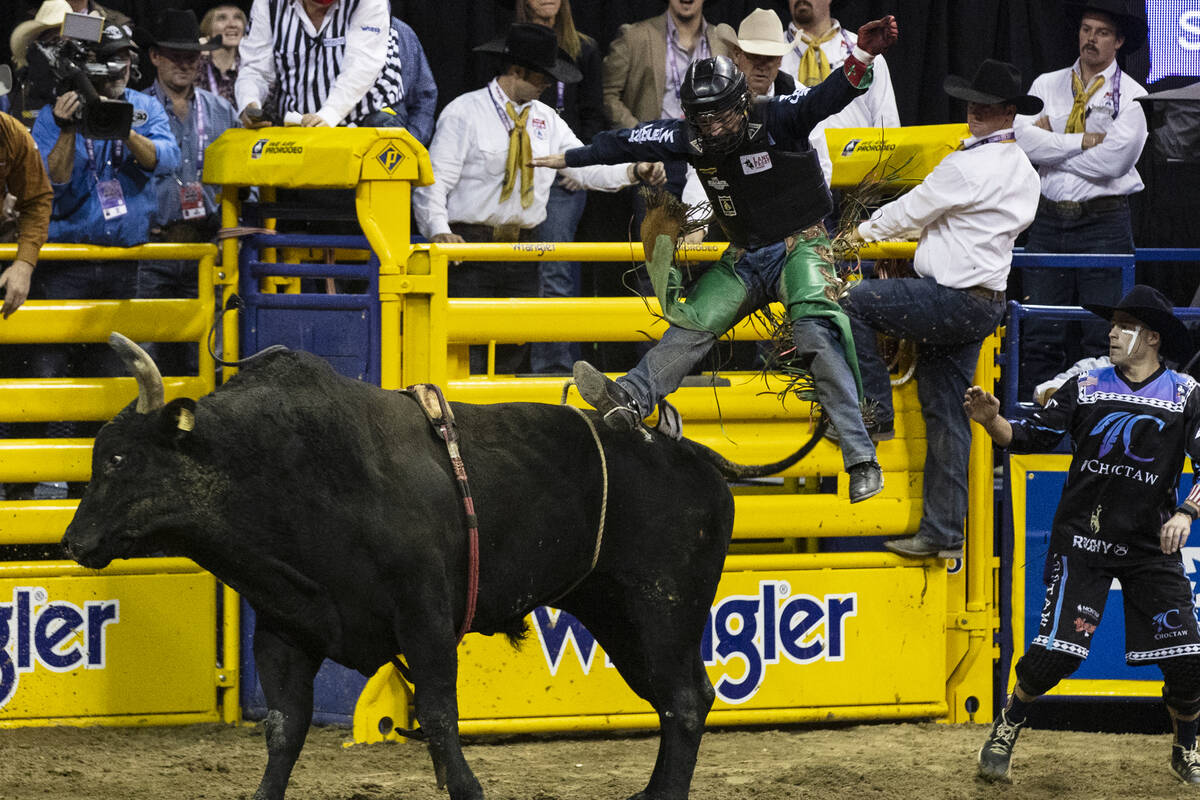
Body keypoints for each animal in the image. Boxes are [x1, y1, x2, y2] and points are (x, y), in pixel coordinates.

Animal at [60, 333, 820, 800]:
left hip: (663, 608)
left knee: (685, 702)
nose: (73, 541)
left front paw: (468, 787)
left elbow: (440, 716)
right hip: (620, 614)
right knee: (678, 700)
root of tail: (692, 454)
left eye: (121, 458)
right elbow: (284, 727)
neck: (284, 466)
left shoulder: (424, 619)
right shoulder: (285, 626)